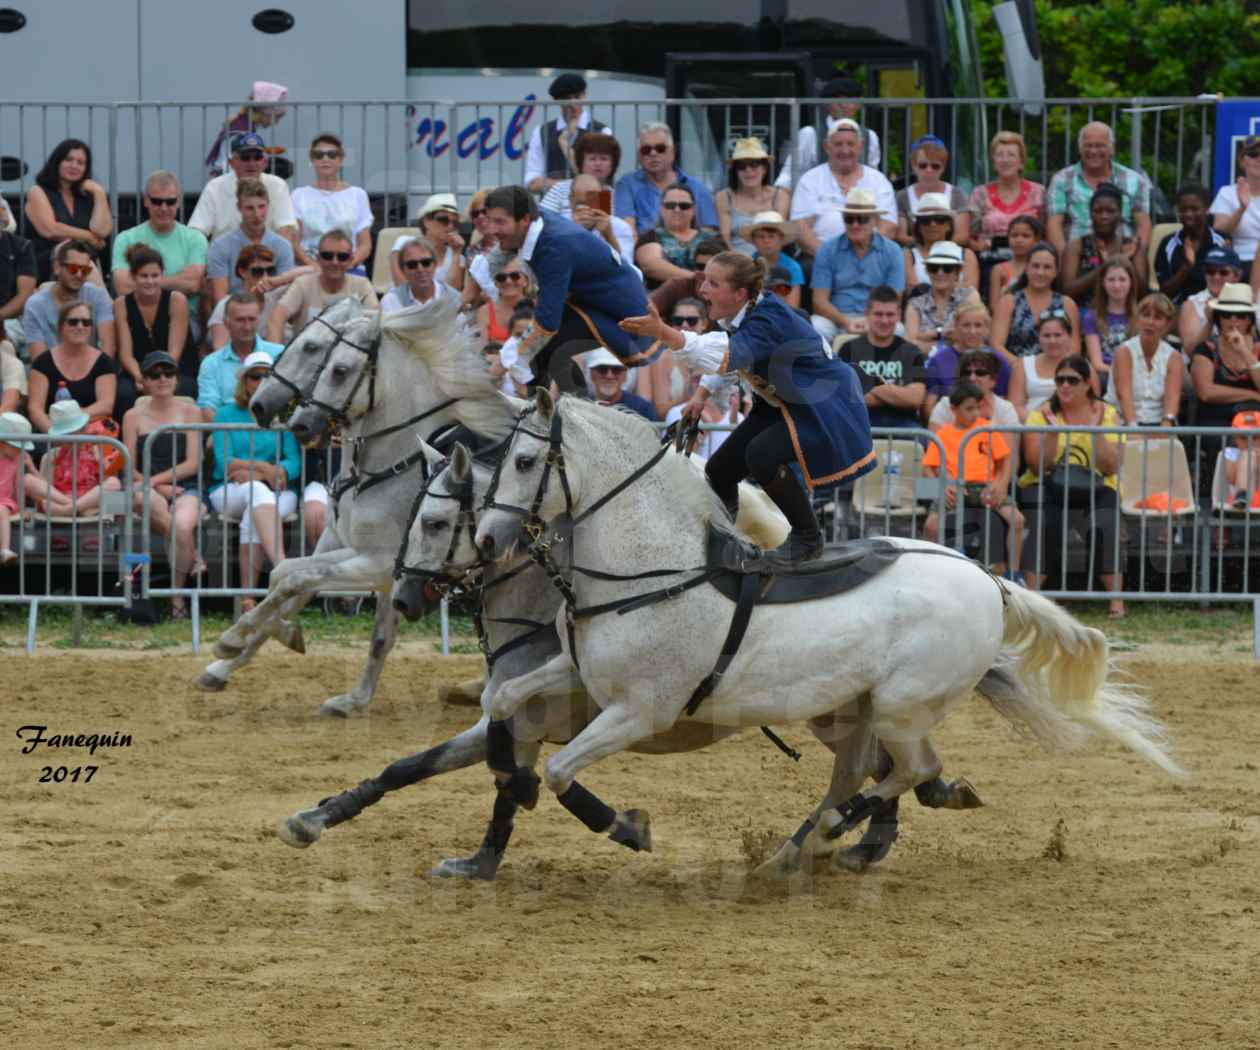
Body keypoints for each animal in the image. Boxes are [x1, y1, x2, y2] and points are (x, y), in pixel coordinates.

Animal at [476, 388, 1184, 872]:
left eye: (526, 460)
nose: (485, 538)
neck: (654, 568)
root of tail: (988, 579)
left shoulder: (639, 711)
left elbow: (562, 770)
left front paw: (627, 826)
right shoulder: (577, 672)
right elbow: (503, 699)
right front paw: (511, 777)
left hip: (901, 706)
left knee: (909, 768)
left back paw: (829, 834)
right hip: (852, 710)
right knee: (861, 773)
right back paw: (794, 850)